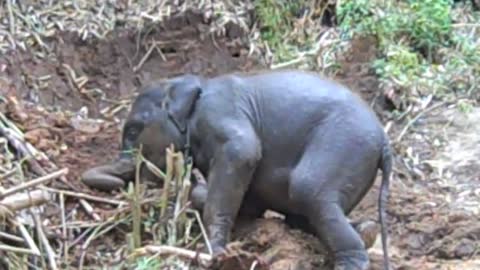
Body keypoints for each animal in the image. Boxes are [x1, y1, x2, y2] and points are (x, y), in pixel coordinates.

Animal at [82, 70, 392, 270]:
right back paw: (367, 230)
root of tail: (385, 142)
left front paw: (216, 255)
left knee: (308, 190)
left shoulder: (219, 114)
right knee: (304, 215)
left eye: (133, 130)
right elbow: (249, 202)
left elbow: (243, 152)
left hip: (345, 144)